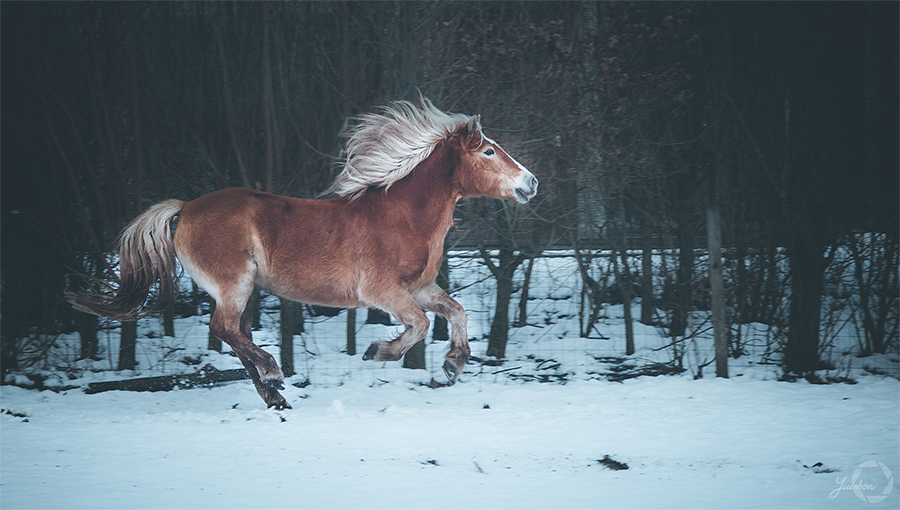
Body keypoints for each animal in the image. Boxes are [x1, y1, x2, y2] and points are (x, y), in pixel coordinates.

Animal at [70, 98, 536, 410]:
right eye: (489, 150)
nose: (531, 182)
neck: (403, 215)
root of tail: (185, 208)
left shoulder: (419, 288)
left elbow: (456, 311)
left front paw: (454, 365)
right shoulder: (381, 292)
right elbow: (420, 326)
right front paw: (378, 352)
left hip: (244, 290)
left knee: (234, 333)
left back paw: (274, 394)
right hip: (235, 284)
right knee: (225, 328)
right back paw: (274, 374)